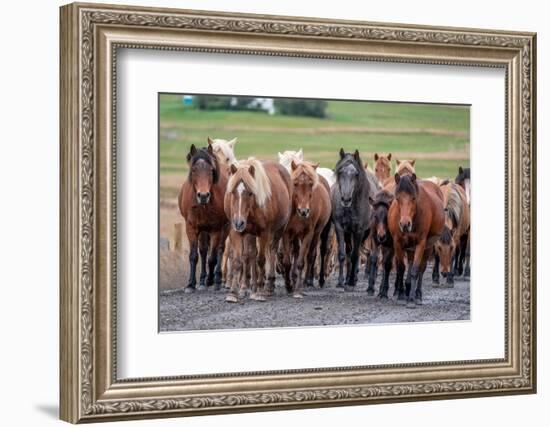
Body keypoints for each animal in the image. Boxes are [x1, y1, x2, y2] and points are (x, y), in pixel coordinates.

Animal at [180, 145, 230, 292]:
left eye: (211, 170)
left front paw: (211, 280)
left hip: (225, 227)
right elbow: (194, 255)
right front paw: (191, 284)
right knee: (203, 251)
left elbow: (212, 257)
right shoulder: (191, 227)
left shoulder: (216, 229)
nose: (203, 195)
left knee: (220, 249)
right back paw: (202, 280)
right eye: (194, 170)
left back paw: (217, 279)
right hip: (203, 230)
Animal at [224, 159, 294, 302]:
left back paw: (268, 285)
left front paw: (260, 292)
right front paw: (233, 293)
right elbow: (238, 261)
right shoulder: (236, 232)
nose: (239, 222)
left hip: (279, 229)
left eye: (250, 193)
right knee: (251, 255)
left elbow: (261, 260)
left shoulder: (264, 233)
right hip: (250, 234)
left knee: (271, 251)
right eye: (233, 192)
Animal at [284, 160, 332, 298]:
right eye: (295, 183)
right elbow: (287, 262)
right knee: (298, 252)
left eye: (311, 184)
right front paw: (288, 285)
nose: (304, 211)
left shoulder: (308, 233)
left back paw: (311, 281)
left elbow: (302, 262)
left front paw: (297, 289)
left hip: (320, 232)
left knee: (314, 254)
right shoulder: (287, 233)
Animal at [332, 148, 376, 290]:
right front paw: (341, 281)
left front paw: (351, 281)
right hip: (348, 232)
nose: (346, 199)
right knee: (348, 252)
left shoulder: (359, 230)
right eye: (340, 172)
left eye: (356, 174)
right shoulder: (340, 227)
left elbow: (355, 255)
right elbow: (342, 254)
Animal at [390, 174, 446, 308]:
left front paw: (411, 299)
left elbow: (416, 270)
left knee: (421, 268)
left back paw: (417, 295)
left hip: (428, 246)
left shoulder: (421, 243)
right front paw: (401, 295)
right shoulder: (397, 243)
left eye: (414, 198)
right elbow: (401, 268)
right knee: (409, 262)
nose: (405, 224)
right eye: (397, 198)